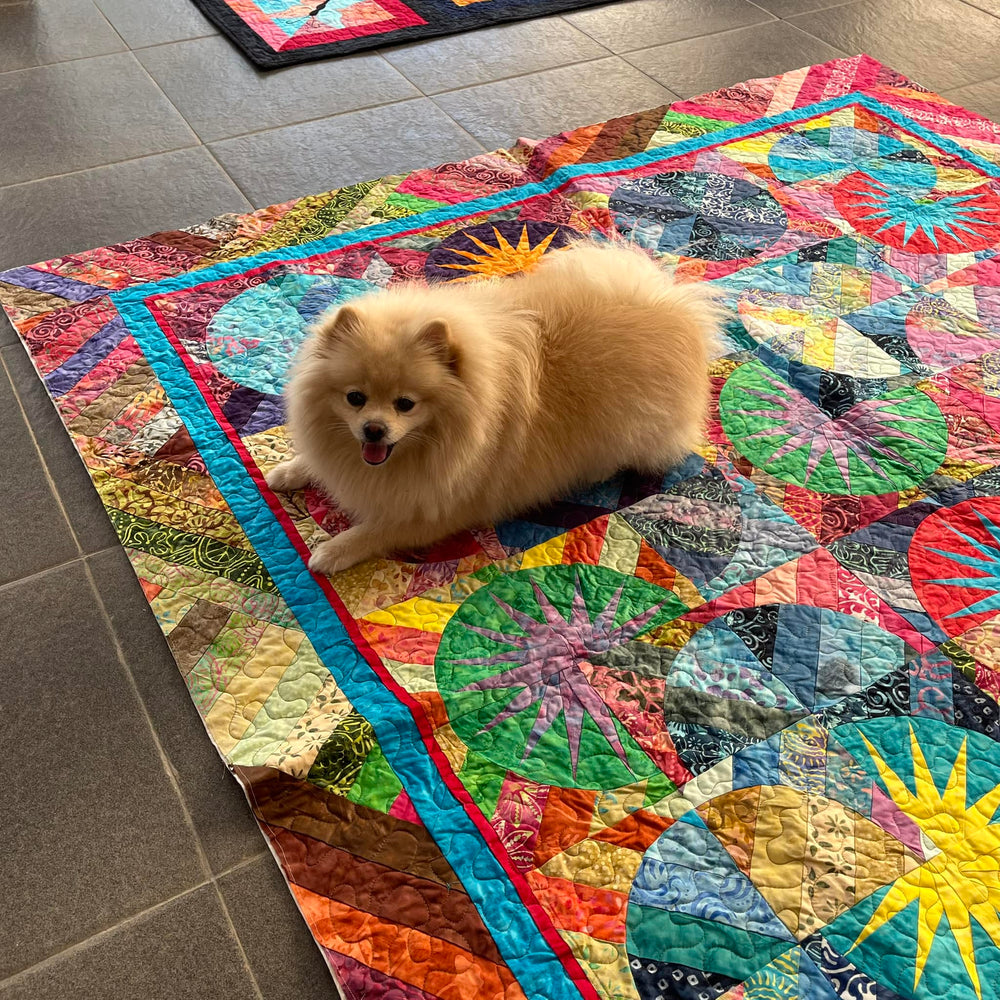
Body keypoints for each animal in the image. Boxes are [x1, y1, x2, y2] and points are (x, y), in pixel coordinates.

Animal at [266, 239, 722, 575]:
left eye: (405, 404)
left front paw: (333, 551)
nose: (373, 430)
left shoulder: (434, 510)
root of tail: (673, 310)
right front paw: (289, 471)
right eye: (355, 398)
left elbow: (375, 530)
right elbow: (315, 462)